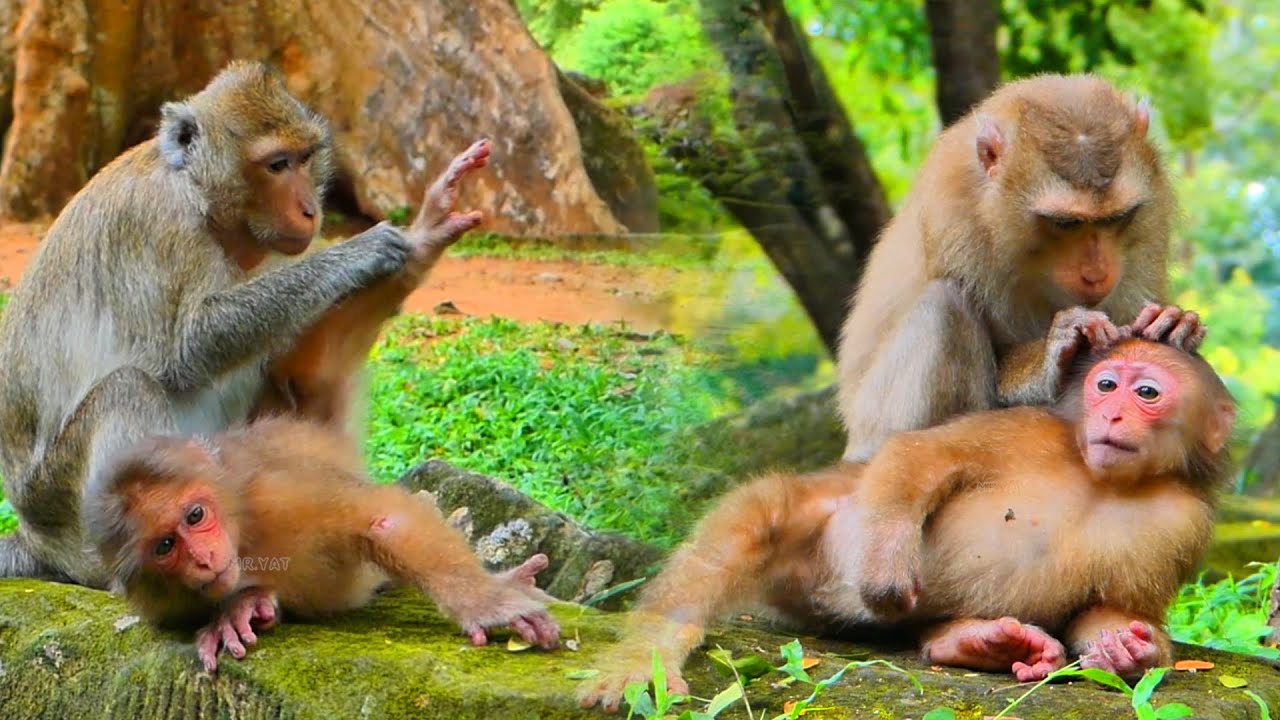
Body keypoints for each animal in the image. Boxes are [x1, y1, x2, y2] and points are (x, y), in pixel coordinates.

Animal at [0, 60, 485, 586]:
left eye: (304, 158)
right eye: (276, 165)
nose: (311, 210)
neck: (201, 199)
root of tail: (34, 538)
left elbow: (291, 368)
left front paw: (423, 238)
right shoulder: (160, 224)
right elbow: (184, 351)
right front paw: (359, 253)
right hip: (61, 509)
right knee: (128, 388)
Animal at [81, 415, 561, 672]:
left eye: (195, 516)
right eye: (165, 545)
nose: (202, 558)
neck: (242, 535)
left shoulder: (278, 498)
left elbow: (381, 517)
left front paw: (488, 604)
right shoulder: (162, 604)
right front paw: (242, 607)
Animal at [579, 325, 1234, 712]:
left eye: (1146, 393)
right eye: (1105, 384)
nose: (1112, 416)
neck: (1099, 479)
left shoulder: (1184, 522)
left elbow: (1116, 608)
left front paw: (1125, 650)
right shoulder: (1027, 431)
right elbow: (919, 457)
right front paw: (886, 564)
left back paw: (978, 641)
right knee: (762, 521)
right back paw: (648, 656)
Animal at [837, 73, 1193, 463]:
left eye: (1117, 218)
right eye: (1066, 223)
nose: (1097, 274)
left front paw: (1173, 322)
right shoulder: (955, 223)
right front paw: (1054, 353)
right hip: (872, 428)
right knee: (943, 308)